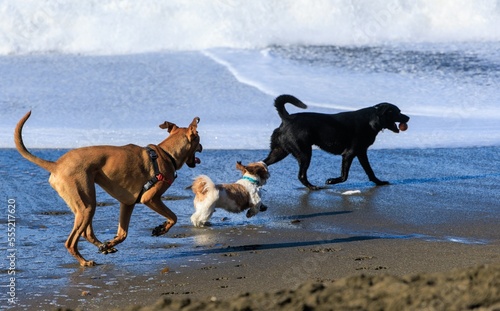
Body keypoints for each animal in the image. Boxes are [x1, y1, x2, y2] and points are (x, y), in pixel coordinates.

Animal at [15, 112, 203, 268]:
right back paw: (84, 262)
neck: (166, 154)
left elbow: (122, 234)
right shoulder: (150, 198)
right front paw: (161, 229)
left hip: (86, 202)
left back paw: (102, 247)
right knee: (71, 242)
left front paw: (109, 244)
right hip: (86, 205)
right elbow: (173, 217)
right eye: (198, 140)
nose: (202, 147)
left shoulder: (127, 204)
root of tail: (56, 165)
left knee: (86, 233)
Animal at [264, 94, 408, 190]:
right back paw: (313, 187)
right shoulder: (349, 154)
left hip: (279, 152)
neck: (372, 119)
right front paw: (331, 181)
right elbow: (345, 176)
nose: (408, 117)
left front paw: (379, 182)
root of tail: (287, 118)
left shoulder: (361, 153)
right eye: (398, 112)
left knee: (264, 162)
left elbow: (370, 171)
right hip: (304, 153)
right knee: (301, 175)